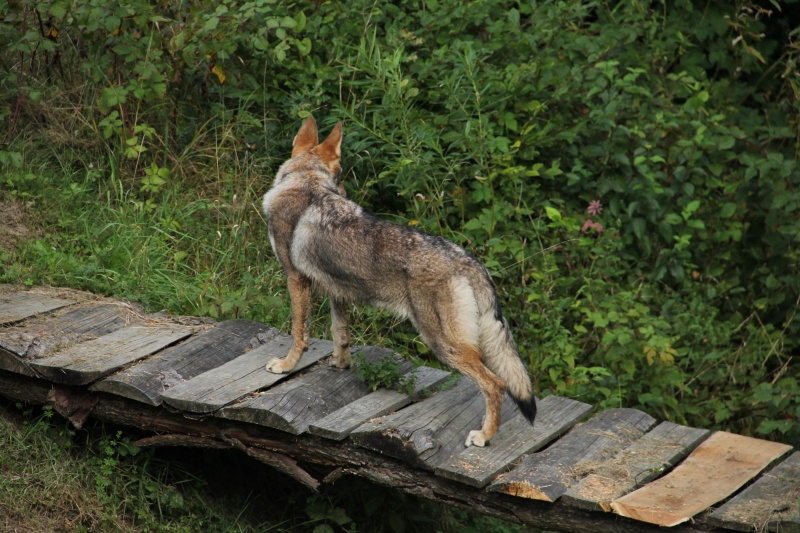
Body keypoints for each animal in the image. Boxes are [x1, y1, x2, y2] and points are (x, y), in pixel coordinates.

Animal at [264, 115, 536, 444]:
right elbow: (340, 334)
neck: (305, 182)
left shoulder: (296, 280)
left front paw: (285, 365)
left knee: (496, 384)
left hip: (442, 345)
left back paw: (483, 436)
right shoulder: (338, 290)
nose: (346, 193)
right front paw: (340, 364)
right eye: (340, 175)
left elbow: (298, 333)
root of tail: (469, 262)